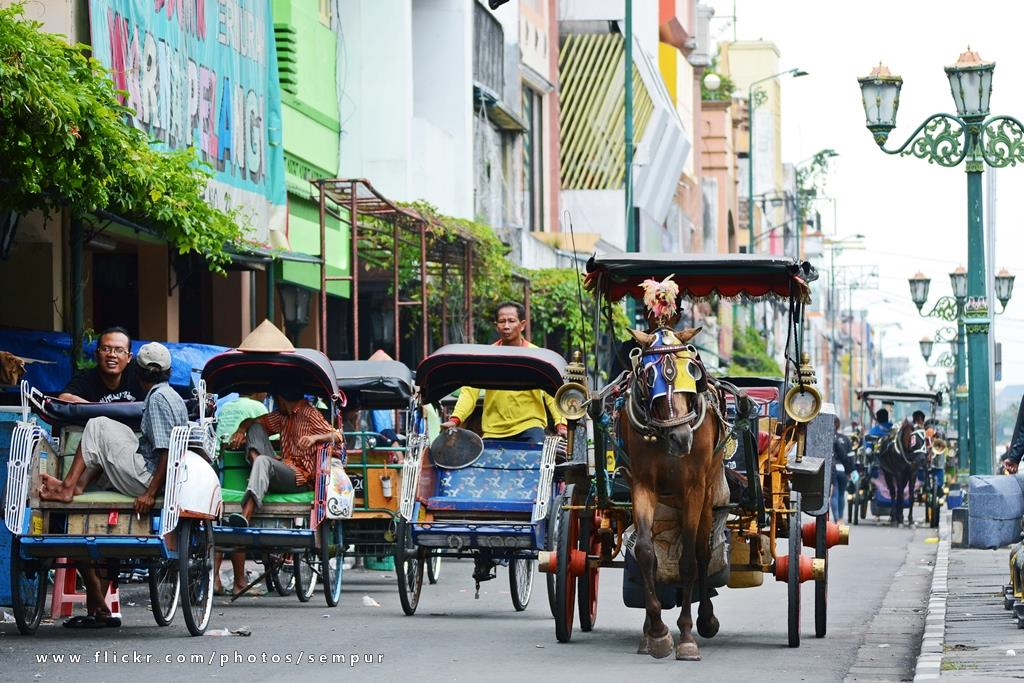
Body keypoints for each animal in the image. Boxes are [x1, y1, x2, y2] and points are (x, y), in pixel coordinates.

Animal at [622, 327, 729, 663]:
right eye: (648, 375)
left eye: (692, 370)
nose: (682, 438)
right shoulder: (642, 485)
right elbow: (645, 552)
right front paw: (656, 633)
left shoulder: (694, 487)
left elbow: (689, 561)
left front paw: (686, 637)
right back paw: (647, 634)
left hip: (708, 489)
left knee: (702, 551)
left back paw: (705, 619)